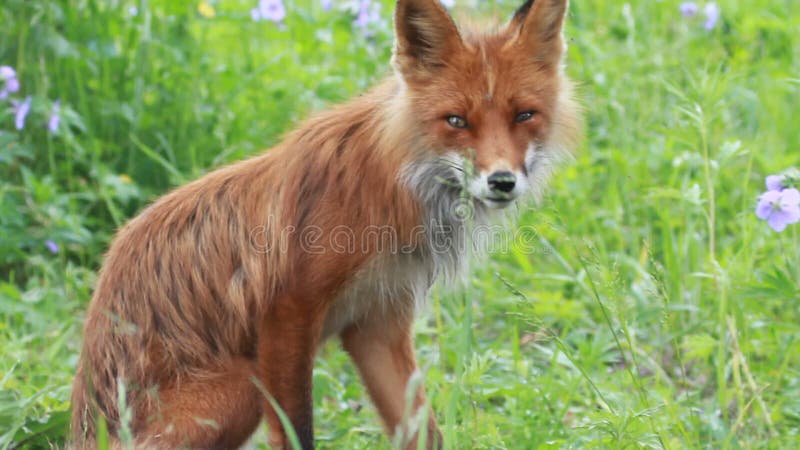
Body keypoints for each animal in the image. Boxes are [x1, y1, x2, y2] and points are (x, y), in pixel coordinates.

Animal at [69, 0, 580, 448]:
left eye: (524, 115)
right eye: (456, 121)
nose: (502, 181)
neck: (396, 185)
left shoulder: (377, 322)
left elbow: (424, 431)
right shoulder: (287, 312)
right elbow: (298, 432)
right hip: (242, 383)